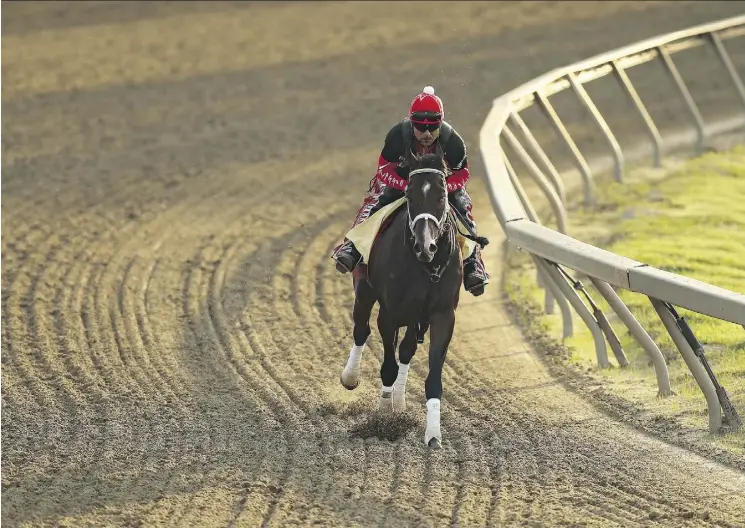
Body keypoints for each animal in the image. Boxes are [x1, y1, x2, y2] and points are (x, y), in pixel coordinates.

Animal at [338, 151, 460, 448]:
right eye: (409, 194)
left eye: (442, 195)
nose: (425, 246)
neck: (427, 266)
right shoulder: (390, 313)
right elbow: (388, 366)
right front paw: (383, 415)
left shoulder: (442, 315)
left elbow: (432, 376)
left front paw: (433, 435)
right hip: (364, 291)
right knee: (361, 331)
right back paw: (351, 376)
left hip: (416, 316)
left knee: (406, 350)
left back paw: (401, 401)